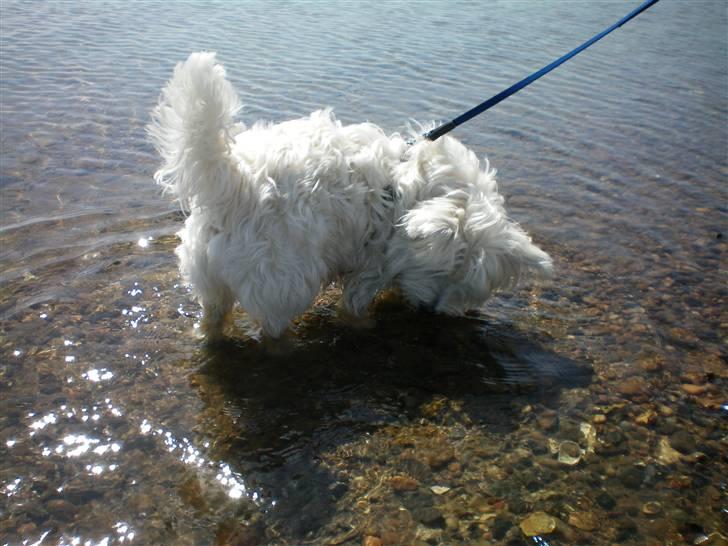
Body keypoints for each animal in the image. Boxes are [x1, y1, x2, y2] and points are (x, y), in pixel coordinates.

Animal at [151, 52, 556, 340]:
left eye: (465, 283)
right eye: (442, 271)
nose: (429, 311)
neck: (410, 197)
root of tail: (234, 187)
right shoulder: (372, 266)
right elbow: (355, 307)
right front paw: (365, 327)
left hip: (208, 275)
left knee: (212, 319)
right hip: (285, 281)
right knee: (272, 332)